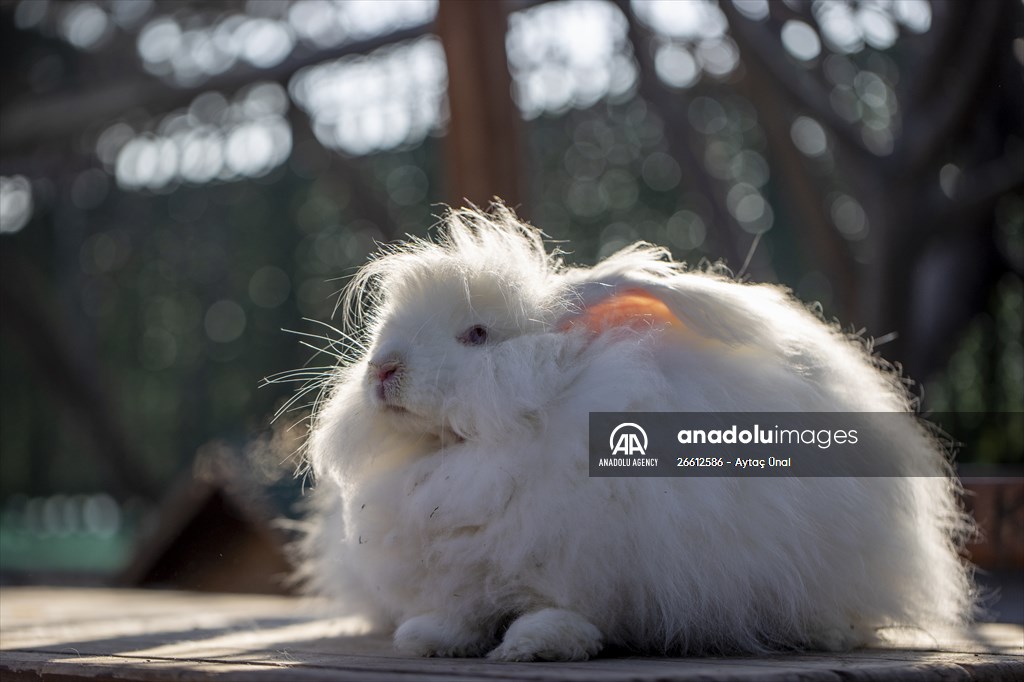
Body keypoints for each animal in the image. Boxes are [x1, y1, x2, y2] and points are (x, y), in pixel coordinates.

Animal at [294, 202, 966, 659]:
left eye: (477, 335)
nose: (384, 370)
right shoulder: (460, 572)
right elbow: (460, 613)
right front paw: (427, 637)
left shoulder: (590, 558)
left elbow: (565, 609)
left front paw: (536, 644)